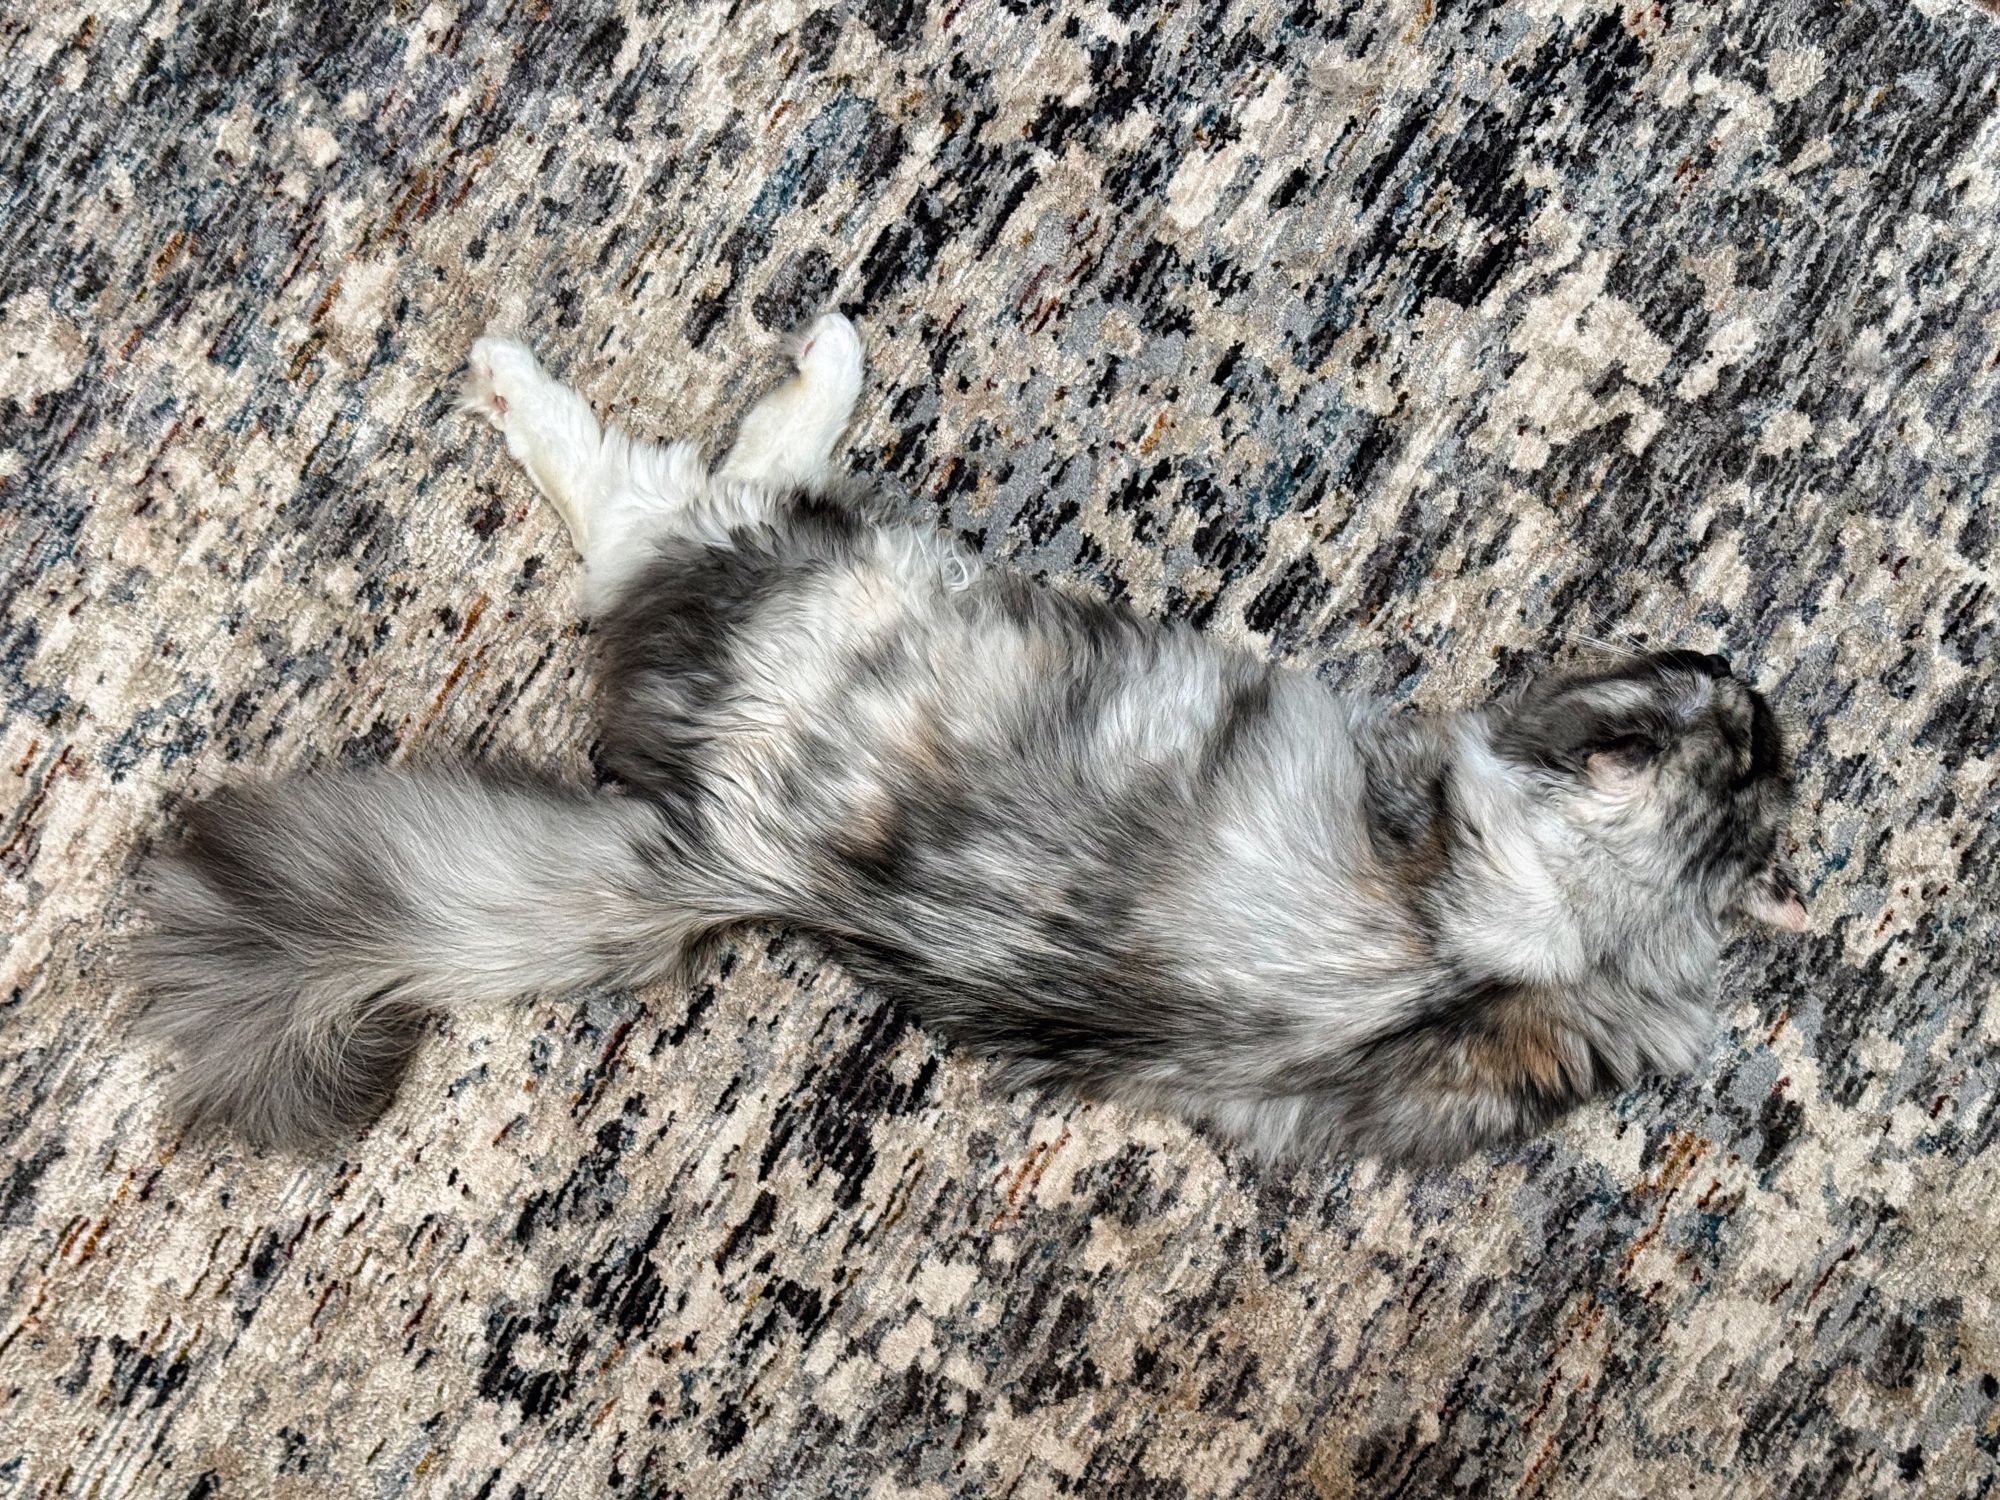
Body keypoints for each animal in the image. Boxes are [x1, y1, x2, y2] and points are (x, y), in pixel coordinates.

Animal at [129, 314, 1816, 1160]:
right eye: (1712, 693)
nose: (1747, 683)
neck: (1518, 945)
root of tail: (729, 858)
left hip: (797, 562)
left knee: (652, 496)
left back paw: (710, 362)